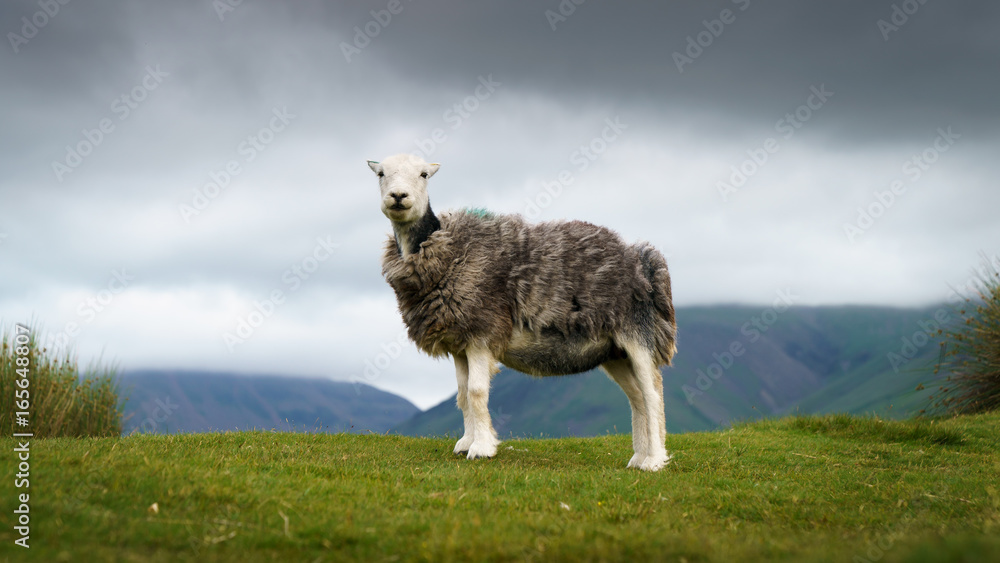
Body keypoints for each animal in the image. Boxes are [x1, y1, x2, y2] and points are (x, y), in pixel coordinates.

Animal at [368, 153, 677, 471]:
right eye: (381, 173)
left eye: (424, 175)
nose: (399, 196)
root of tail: (643, 258)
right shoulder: (459, 342)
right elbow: (463, 395)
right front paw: (465, 443)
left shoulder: (482, 333)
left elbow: (477, 392)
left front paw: (481, 448)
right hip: (614, 351)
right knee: (637, 397)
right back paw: (639, 457)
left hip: (637, 333)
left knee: (652, 394)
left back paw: (654, 461)